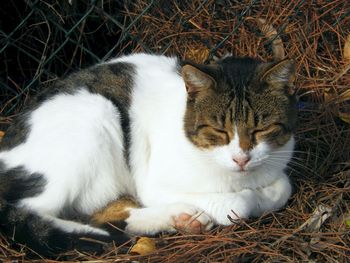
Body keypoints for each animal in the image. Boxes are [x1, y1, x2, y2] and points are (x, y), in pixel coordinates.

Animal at [0, 52, 296, 256]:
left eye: (262, 129)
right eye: (218, 130)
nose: (241, 158)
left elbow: (283, 186)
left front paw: (264, 194)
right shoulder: (154, 184)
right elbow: (237, 204)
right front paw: (248, 200)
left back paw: (179, 218)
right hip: (94, 113)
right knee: (32, 212)